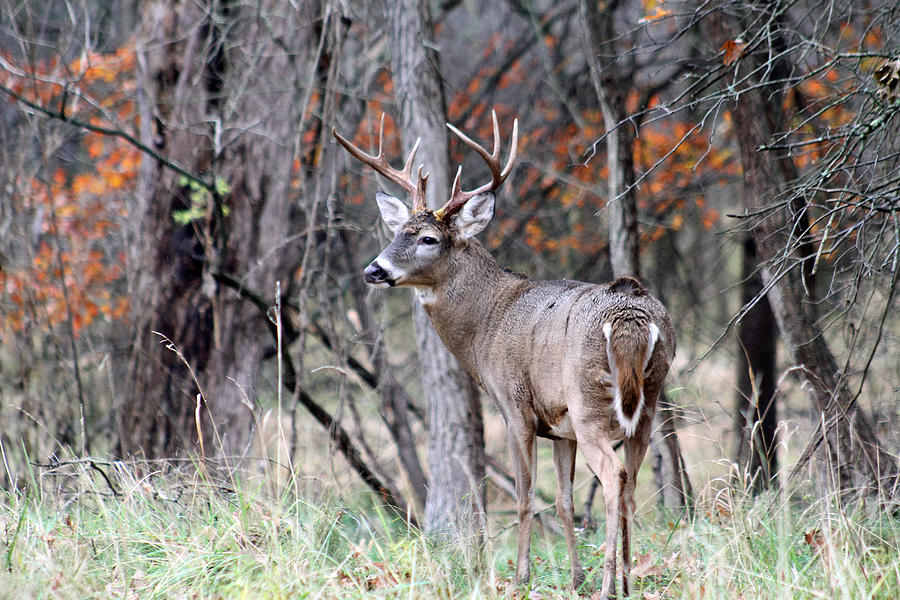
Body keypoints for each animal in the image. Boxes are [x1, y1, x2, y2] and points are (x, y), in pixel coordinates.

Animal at [334, 113, 672, 600]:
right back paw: (627, 579)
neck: (486, 323)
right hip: (647, 405)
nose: (373, 270)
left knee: (614, 478)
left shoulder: (516, 408)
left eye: (429, 238)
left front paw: (520, 577)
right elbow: (565, 502)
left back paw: (611, 584)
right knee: (630, 481)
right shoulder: (561, 427)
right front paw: (574, 578)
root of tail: (631, 314)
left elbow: (526, 496)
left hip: (590, 403)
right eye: (396, 232)